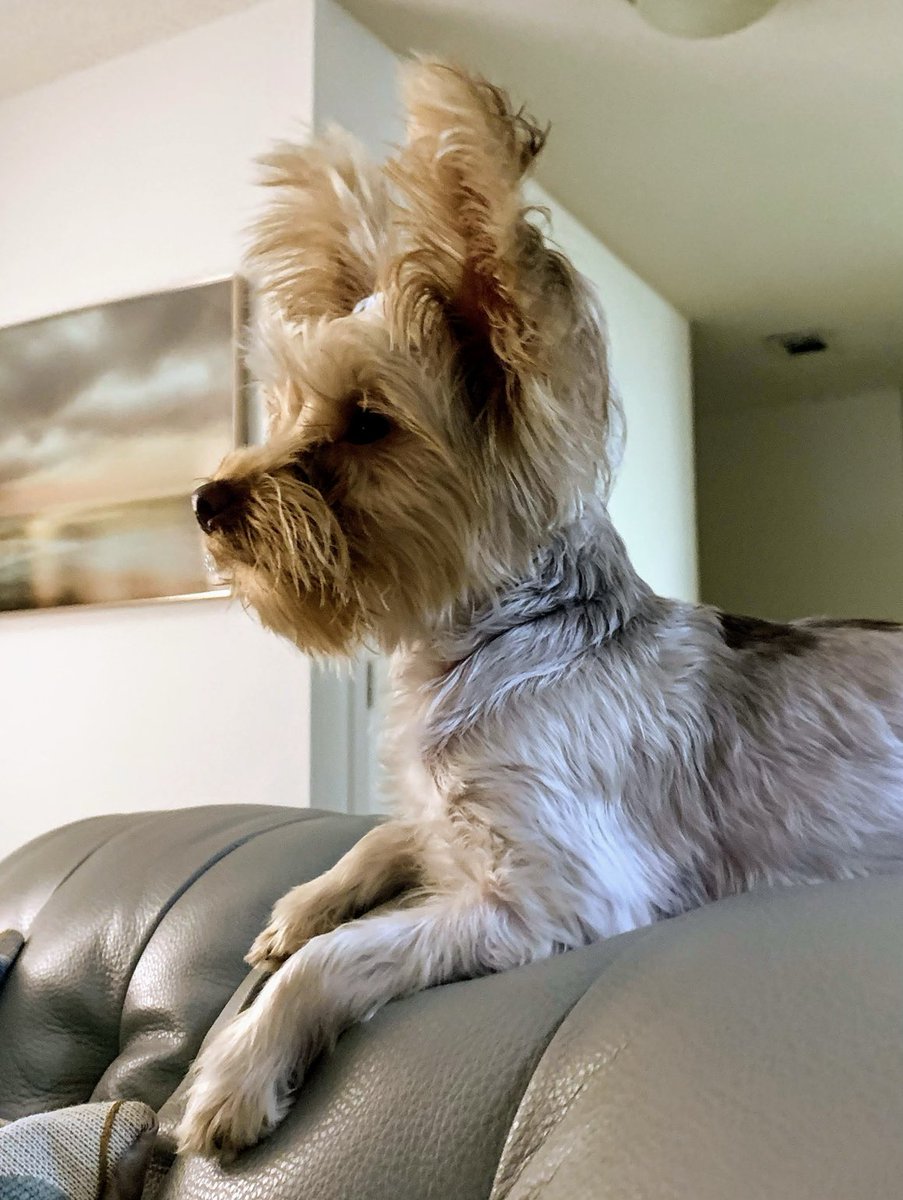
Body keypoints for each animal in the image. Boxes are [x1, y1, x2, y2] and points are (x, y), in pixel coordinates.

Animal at [180, 58, 903, 1161]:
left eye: (367, 423)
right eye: (292, 409)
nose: (205, 501)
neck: (490, 639)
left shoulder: (554, 891)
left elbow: (338, 958)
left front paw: (238, 1067)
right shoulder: (449, 820)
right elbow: (383, 838)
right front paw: (304, 901)